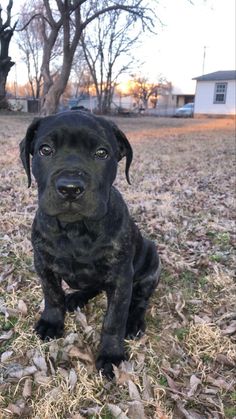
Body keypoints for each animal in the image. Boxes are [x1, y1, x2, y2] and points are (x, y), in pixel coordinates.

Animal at [20, 110, 160, 378]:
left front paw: (111, 355)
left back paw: (134, 322)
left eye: (102, 153)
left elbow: (114, 319)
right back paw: (76, 297)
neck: (76, 229)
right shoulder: (43, 263)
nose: (70, 188)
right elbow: (52, 295)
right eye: (45, 150)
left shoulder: (121, 277)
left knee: (140, 300)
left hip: (151, 261)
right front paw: (51, 322)